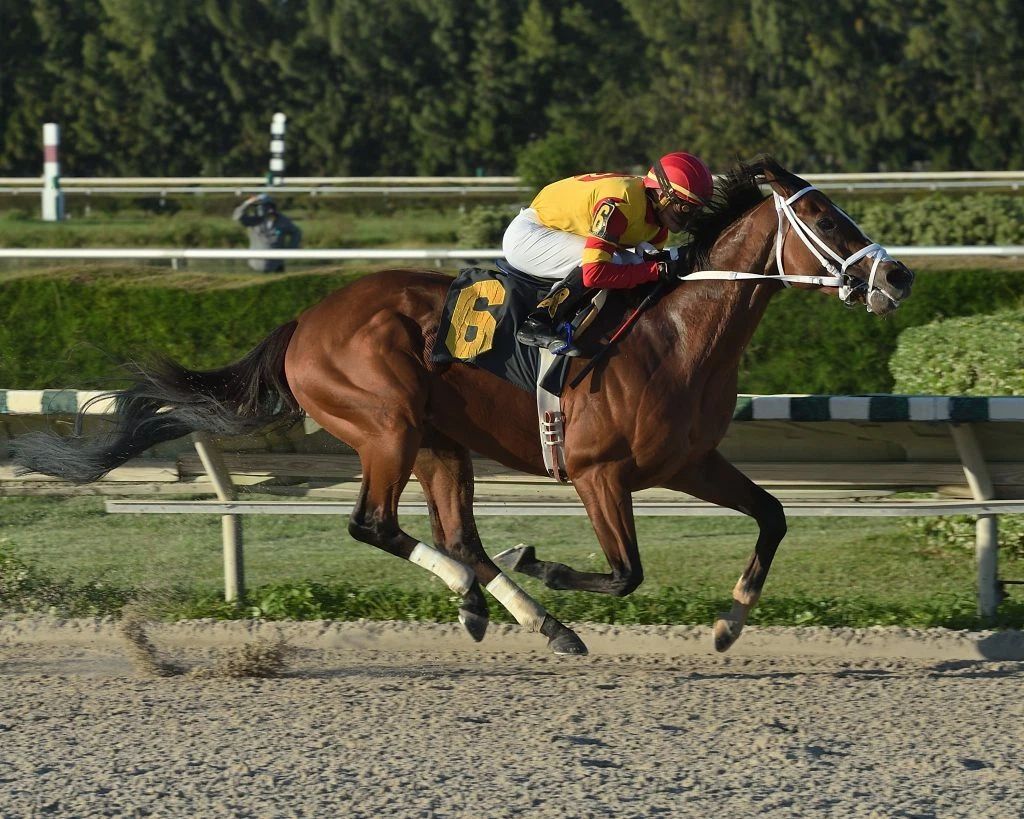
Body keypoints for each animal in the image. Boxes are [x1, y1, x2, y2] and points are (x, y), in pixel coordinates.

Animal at [14, 157, 914, 656]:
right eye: (825, 215)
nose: (899, 274)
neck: (677, 334)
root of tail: (305, 318)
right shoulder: (597, 472)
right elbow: (626, 571)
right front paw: (545, 561)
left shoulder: (690, 460)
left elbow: (773, 515)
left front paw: (730, 622)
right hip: (386, 423)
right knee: (378, 525)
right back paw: (494, 596)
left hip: (440, 442)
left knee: (459, 537)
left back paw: (521, 615)